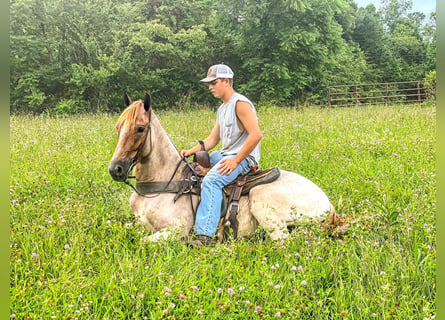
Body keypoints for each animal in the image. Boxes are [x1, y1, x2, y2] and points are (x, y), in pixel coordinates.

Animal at [109, 92, 334, 242]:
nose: (115, 169)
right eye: (118, 127)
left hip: (262, 201)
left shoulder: (177, 229)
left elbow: (141, 242)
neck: (163, 183)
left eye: (140, 128)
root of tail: (327, 203)